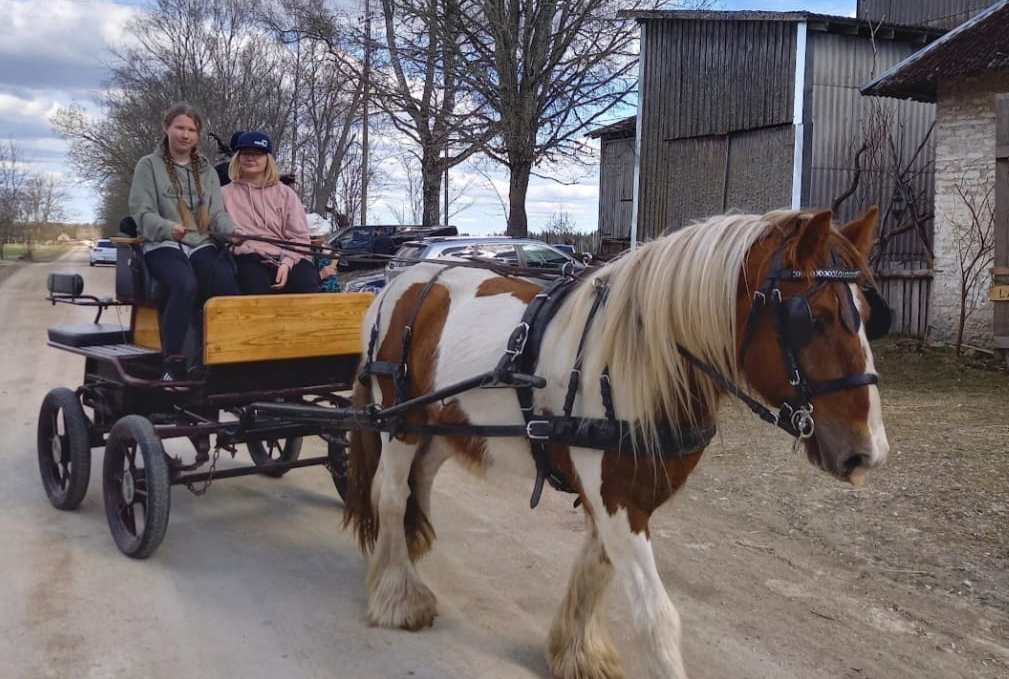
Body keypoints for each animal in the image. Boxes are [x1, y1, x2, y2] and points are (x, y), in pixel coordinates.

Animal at [343, 206, 887, 677]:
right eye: (812, 318)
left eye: (866, 312)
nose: (869, 451)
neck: (637, 363)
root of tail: (398, 283)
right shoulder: (615, 497)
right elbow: (656, 616)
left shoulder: (629, 498)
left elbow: (595, 569)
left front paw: (576, 652)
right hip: (399, 422)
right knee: (391, 494)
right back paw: (397, 595)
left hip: (441, 428)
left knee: (418, 485)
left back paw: (405, 563)